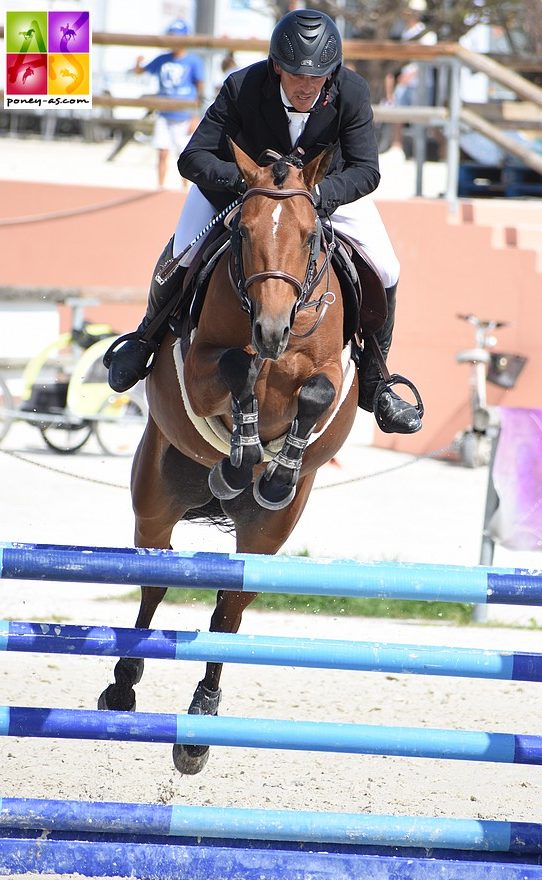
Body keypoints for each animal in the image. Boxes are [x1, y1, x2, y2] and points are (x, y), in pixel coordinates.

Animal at [98, 141, 362, 772]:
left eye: (309, 234)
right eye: (241, 232)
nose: (270, 329)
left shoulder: (325, 373)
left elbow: (316, 393)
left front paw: (271, 471)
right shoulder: (202, 368)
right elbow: (237, 370)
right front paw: (240, 459)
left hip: (267, 535)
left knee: (231, 606)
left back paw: (199, 721)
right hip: (155, 499)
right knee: (154, 581)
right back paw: (123, 684)